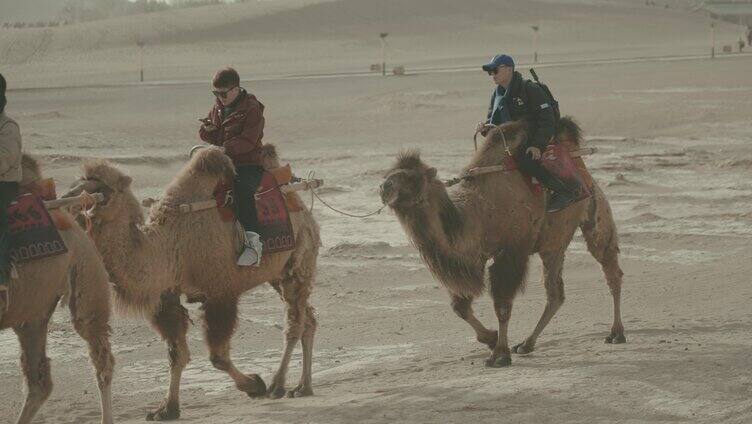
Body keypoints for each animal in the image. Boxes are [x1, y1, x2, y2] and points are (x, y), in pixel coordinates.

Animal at [64, 145, 320, 420]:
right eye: (79, 182)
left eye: (101, 188)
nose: (68, 199)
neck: (170, 245)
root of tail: (301, 203)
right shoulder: (166, 295)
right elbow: (177, 354)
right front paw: (166, 409)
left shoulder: (220, 292)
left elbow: (218, 357)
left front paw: (254, 384)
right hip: (277, 274)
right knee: (308, 318)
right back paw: (303, 386)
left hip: (300, 258)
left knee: (294, 322)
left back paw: (277, 385)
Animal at [378, 118, 624, 368]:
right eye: (388, 174)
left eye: (411, 178)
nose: (383, 188)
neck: (478, 213)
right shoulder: (473, 257)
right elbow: (460, 307)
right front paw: (490, 338)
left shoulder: (512, 252)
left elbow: (502, 305)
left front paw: (500, 354)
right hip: (552, 244)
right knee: (555, 292)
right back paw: (527, 344)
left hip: (594, 210)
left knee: (610, 269)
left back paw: (616, 333)